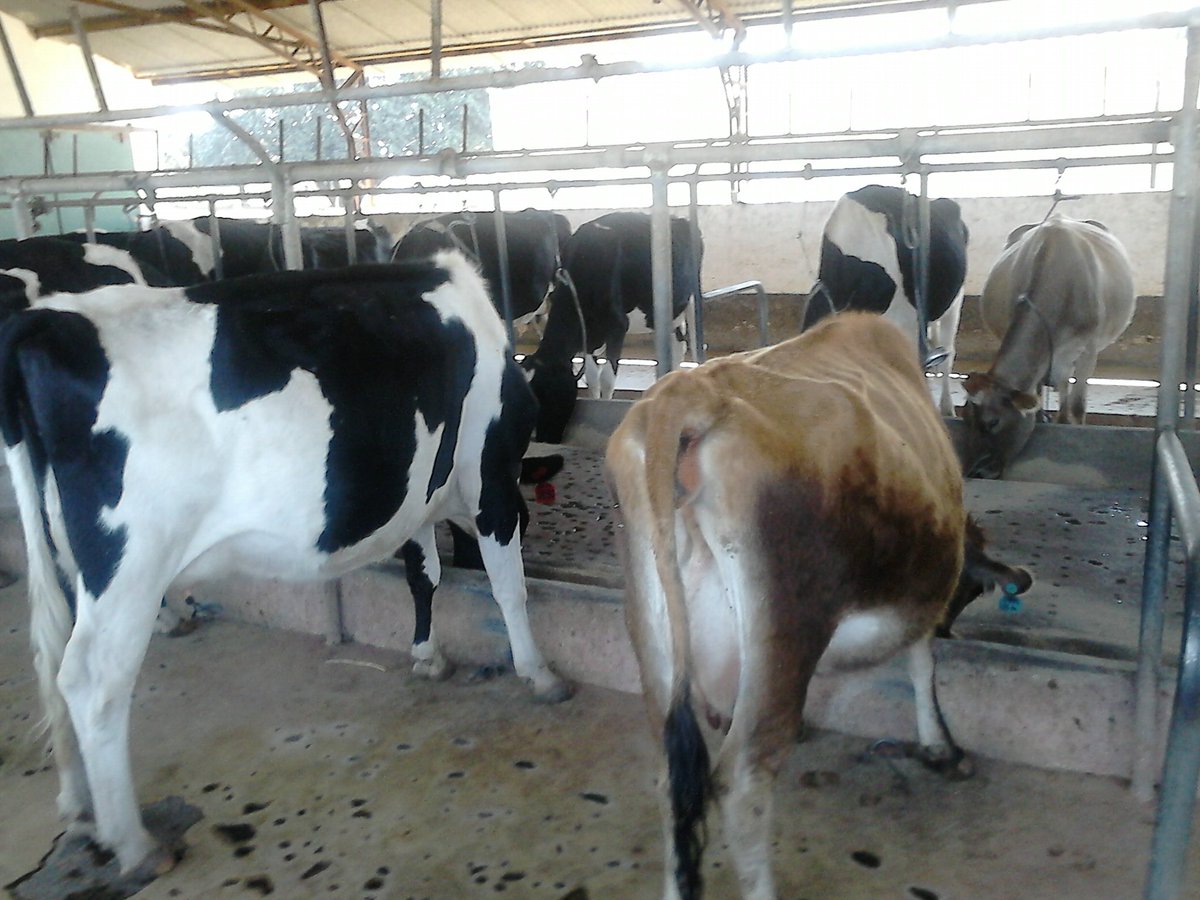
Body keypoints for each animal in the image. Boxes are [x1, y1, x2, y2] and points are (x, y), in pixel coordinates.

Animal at [0, 252, 569, 882]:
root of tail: (43, 321)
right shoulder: (490, 476)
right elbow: (508, 585)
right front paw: (537, 672)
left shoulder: (417, 488)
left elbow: (423, 574)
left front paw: (427, 654)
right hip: (129, 565)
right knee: (93, 681)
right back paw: (133, 841)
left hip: (64, 558)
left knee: (53, 663)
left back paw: (79, 805)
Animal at [523, 211, 704, 443]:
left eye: (547, 396)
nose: (544, 439)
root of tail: (680, 219)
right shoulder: (590, 334)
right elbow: (593, 379)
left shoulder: (617, 326)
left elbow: (607, 379)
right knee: (677, 345)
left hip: (693, 300)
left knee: (694, 346)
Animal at [605, 312, 981, 900]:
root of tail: (690, 392)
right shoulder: (924, 593)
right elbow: (923, 662)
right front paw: (938, 744)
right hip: (786, 627)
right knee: (743, 783)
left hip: (653, 624)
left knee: (672, 781)